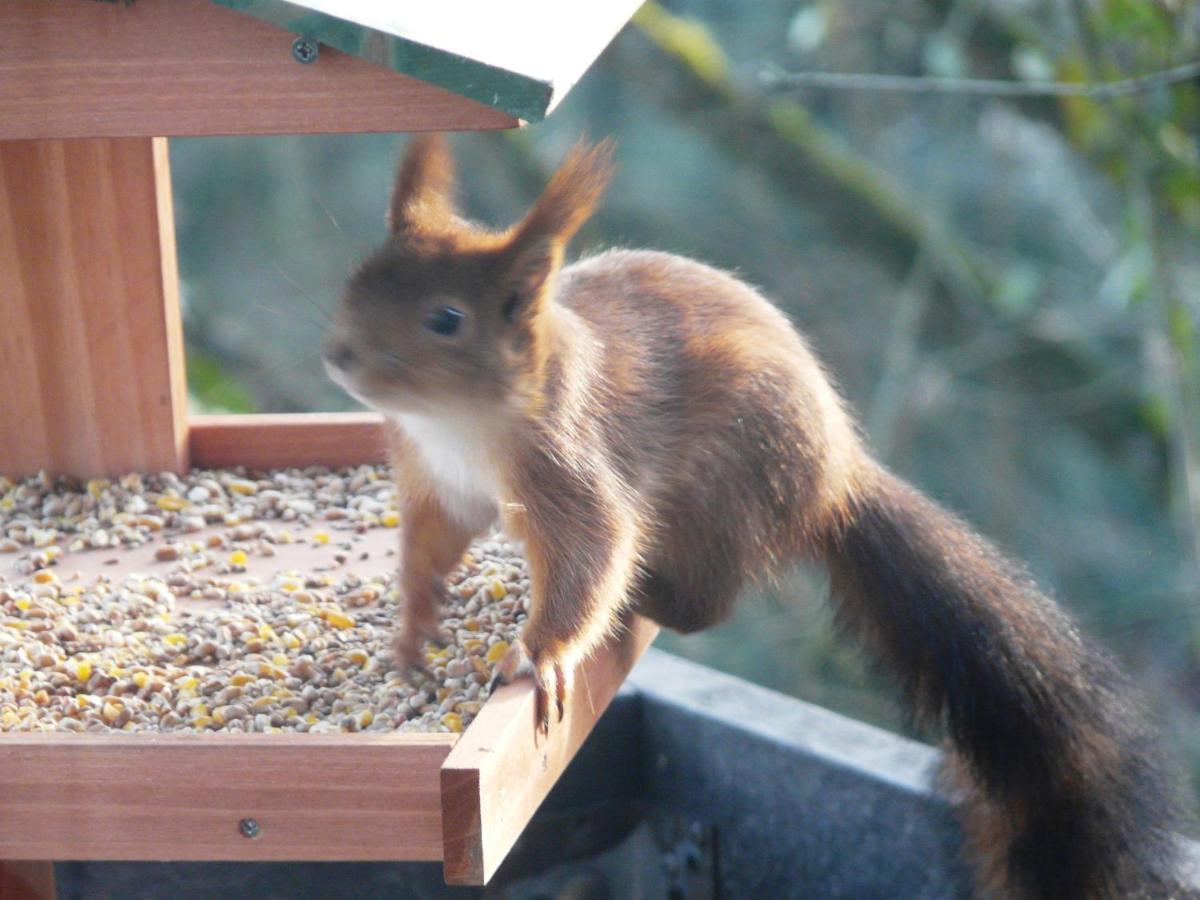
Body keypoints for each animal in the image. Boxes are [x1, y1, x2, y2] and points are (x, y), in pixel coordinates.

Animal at [321, 137, 1190, 900]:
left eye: (445, 319)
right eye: (359, 276)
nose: (338, 355)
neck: (459, 423)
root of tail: (839, 477)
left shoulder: (567, 461)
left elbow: (592, 552)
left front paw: (543, 655)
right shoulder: (439, 483)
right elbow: (429, 551)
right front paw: (412, 631)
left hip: (728, 492)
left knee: (707, 602)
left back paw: (648, 601)